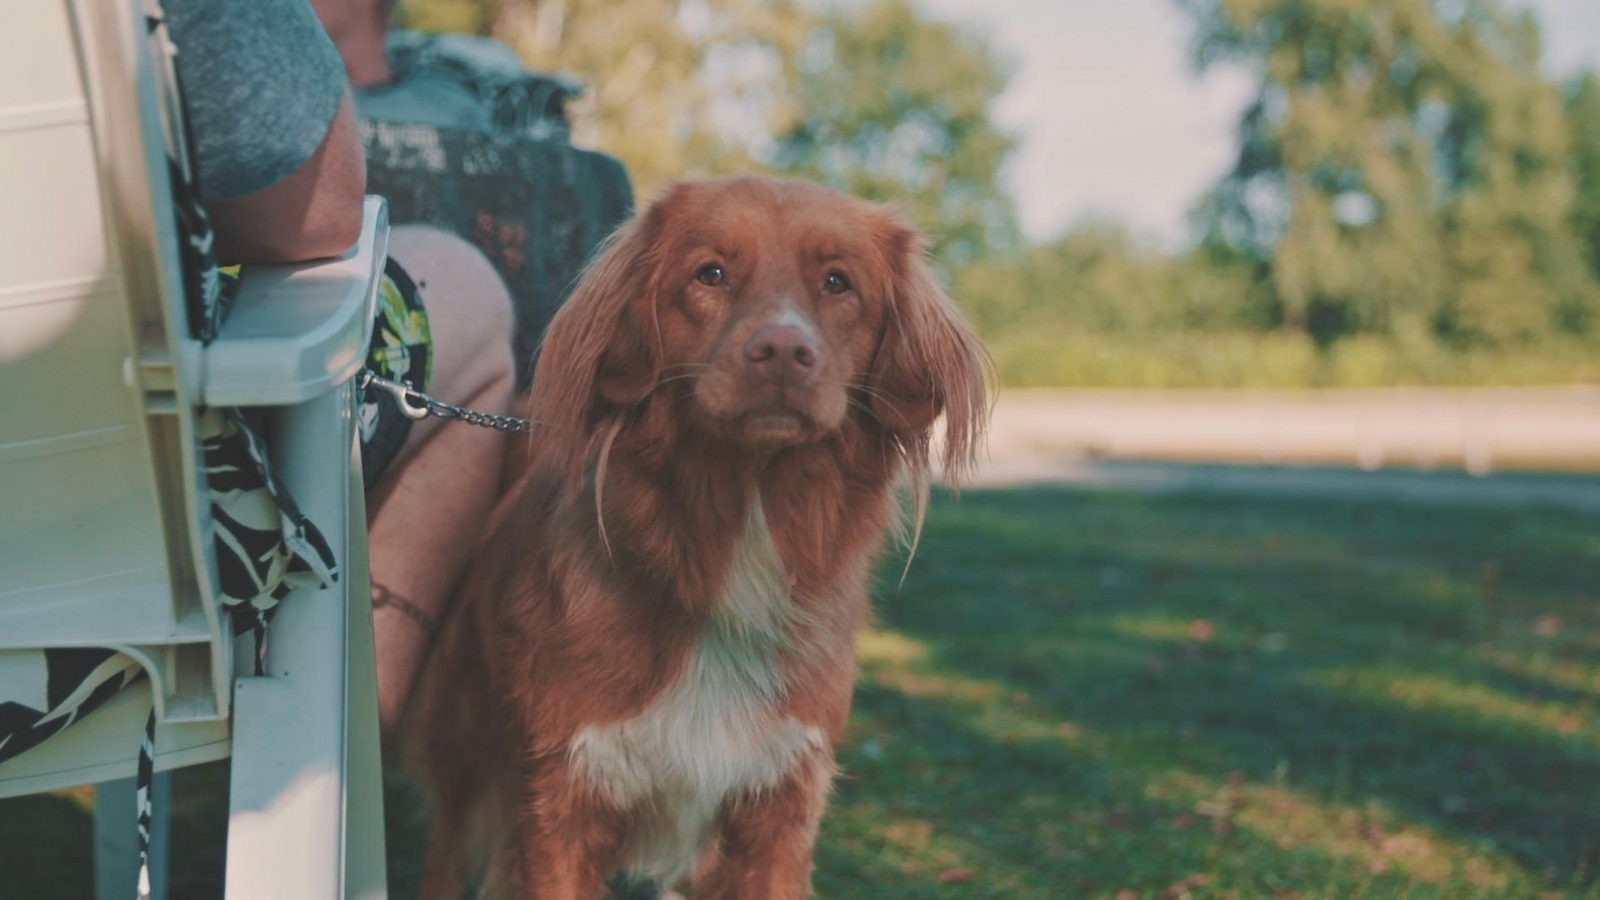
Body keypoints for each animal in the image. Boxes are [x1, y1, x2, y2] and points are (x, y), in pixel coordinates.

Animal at [403, 176, 985, 896]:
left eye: (837, 283)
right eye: (711, 274)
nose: (783, 352)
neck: (740, 537)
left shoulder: (781, 807)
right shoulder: (559, 800)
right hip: (465, 743)